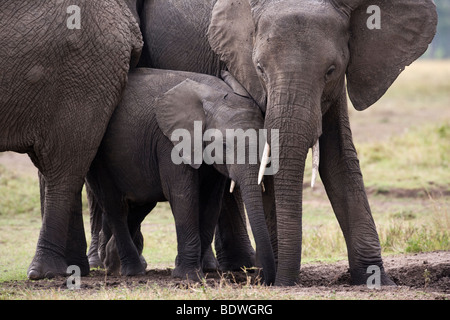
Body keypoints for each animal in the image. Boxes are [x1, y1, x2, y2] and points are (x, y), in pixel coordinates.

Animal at [84, 69, 274, 284]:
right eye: (224, 145)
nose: (260, 278)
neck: (212, 95)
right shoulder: (168, 142)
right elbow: (183, 195)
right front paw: (189, 276)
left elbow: (211, 202)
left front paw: (194, 270)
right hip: (99, 158)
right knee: (115, 206)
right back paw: (132, 270)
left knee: (140, 205)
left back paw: (112, 262)